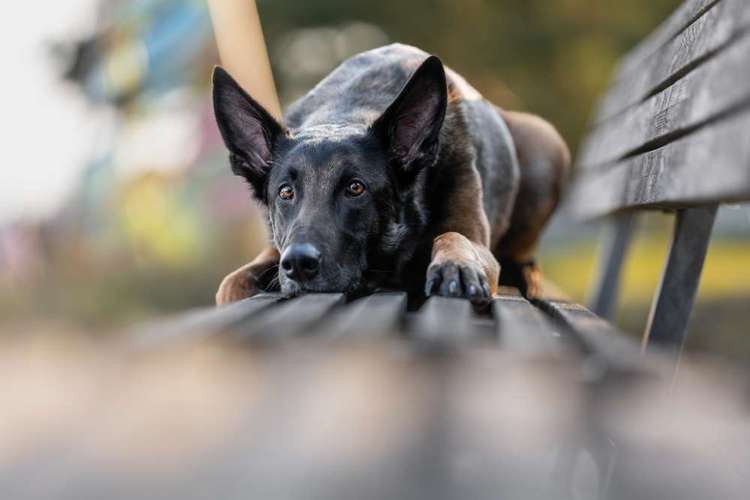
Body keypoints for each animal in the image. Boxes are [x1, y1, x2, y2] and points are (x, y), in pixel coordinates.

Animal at [212, 44, 568, 304]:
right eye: (285, 192)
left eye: (355, 188)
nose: (298, 263)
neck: (348, 112)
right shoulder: (275, 250)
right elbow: (231, 283)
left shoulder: (475, 239)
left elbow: (453, 235)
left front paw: (457, 264)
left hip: (544, 139)